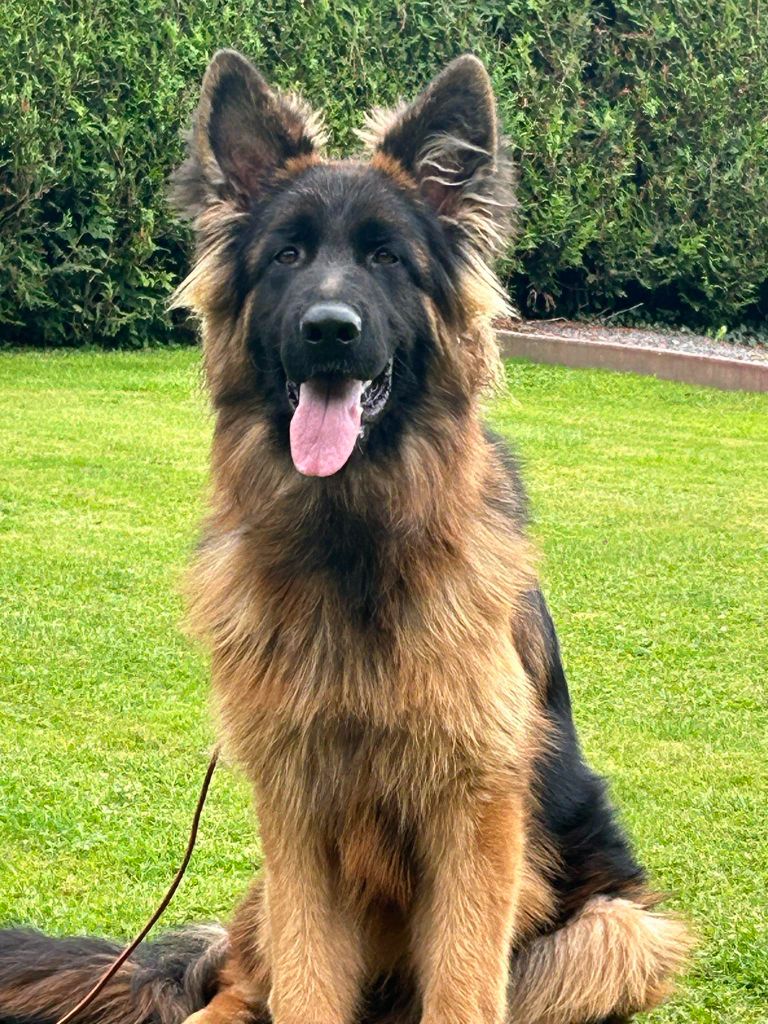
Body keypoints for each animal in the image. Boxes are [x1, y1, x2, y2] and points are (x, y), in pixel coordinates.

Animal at [0, 51, 691, 1024]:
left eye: (387, 258)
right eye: (287, 255)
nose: (330, 330)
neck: (352, 542)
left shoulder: (474, 819)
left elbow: (463, 987)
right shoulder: (294, 811)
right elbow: (305, 985)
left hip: (615, 932)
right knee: (237, 990)